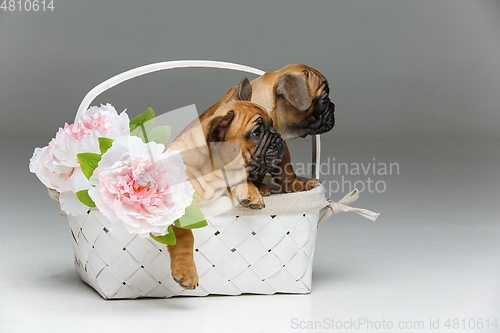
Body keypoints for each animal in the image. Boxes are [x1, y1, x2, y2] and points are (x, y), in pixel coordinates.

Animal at [162, 80, 284, 288]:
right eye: (257, 133)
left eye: (272, 124)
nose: (279, 138)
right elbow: (185, 235)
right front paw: (186, 270)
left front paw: (250, 192)